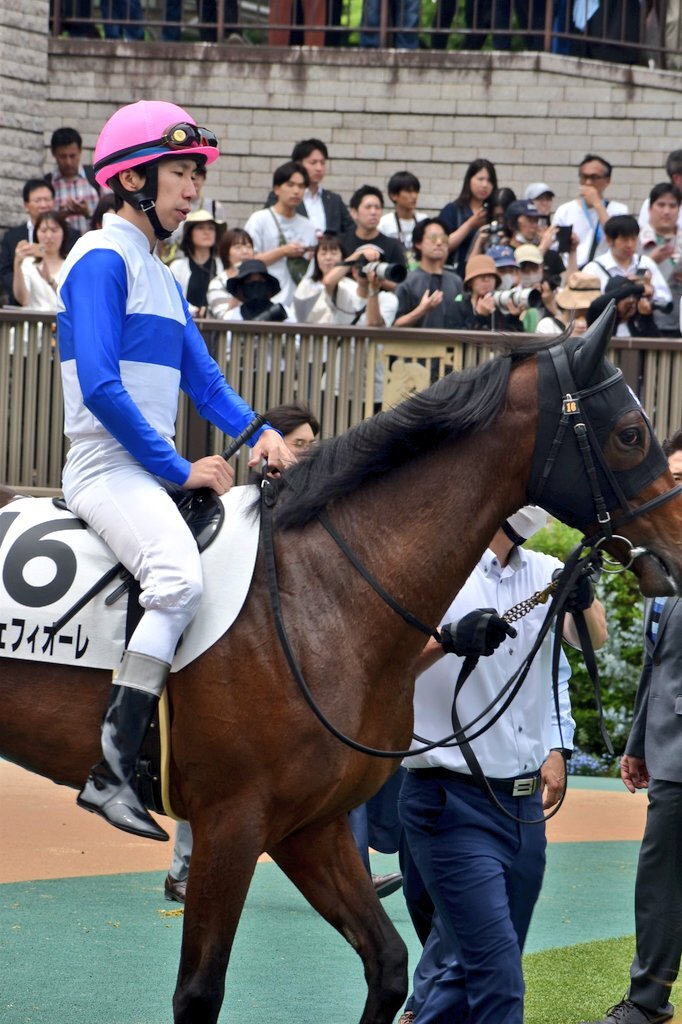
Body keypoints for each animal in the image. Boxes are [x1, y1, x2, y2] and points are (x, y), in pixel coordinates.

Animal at [2, 307, 682, 1024]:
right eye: (631, 434)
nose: (673, 554)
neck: (320, 592)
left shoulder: (312, 826)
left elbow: (388, 963)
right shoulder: (231, 821)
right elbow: (200, 992)